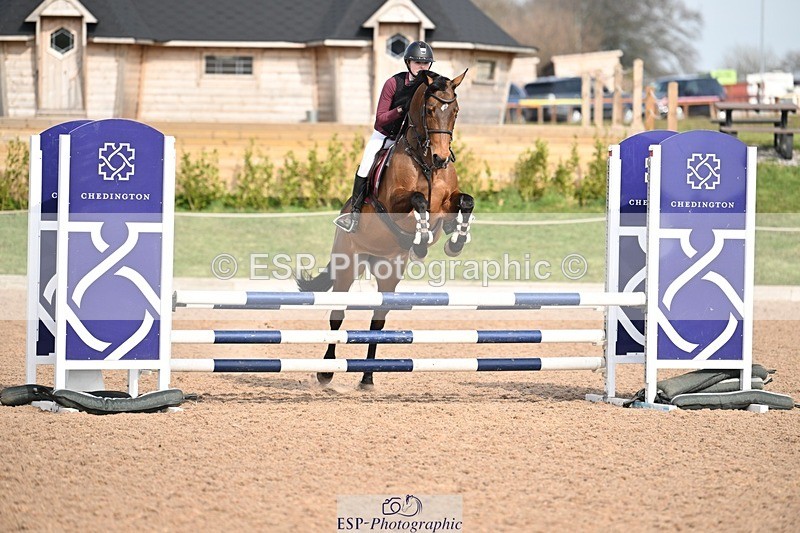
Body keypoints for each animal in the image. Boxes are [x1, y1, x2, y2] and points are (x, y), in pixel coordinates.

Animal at [297, 70, 475, 389]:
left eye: (454, 111)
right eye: (430, 110)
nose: (442, 158)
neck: (425, 162)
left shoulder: (448, 202)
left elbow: (466, 201)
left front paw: (455, 240)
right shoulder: (396, 203)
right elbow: (418, 201)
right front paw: (421, 240)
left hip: (388, 274)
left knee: (377, 322)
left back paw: (367, 377)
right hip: (347, 266)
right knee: (337, 315)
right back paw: (326, 372)